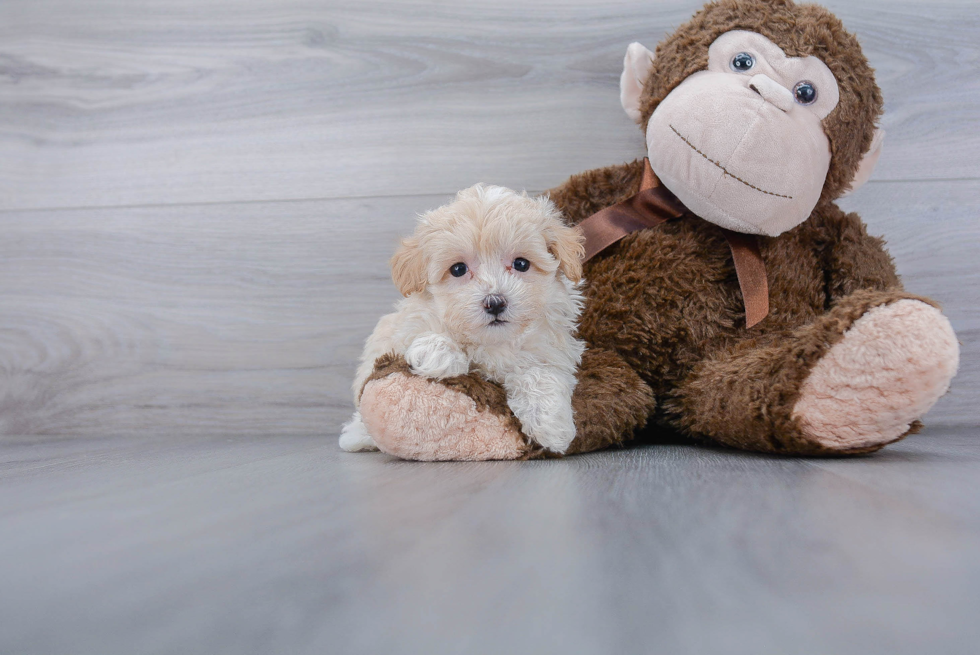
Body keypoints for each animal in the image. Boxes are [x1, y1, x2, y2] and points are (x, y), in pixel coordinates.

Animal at [338, 182, 580, 454]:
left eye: (521, 264)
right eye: (458, 269)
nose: (495, 302)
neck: (492, 342)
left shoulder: (549, 350)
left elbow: (541, 374)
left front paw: (551, 426)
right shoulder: (407, 325)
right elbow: (424, 332)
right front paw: (437, 355)